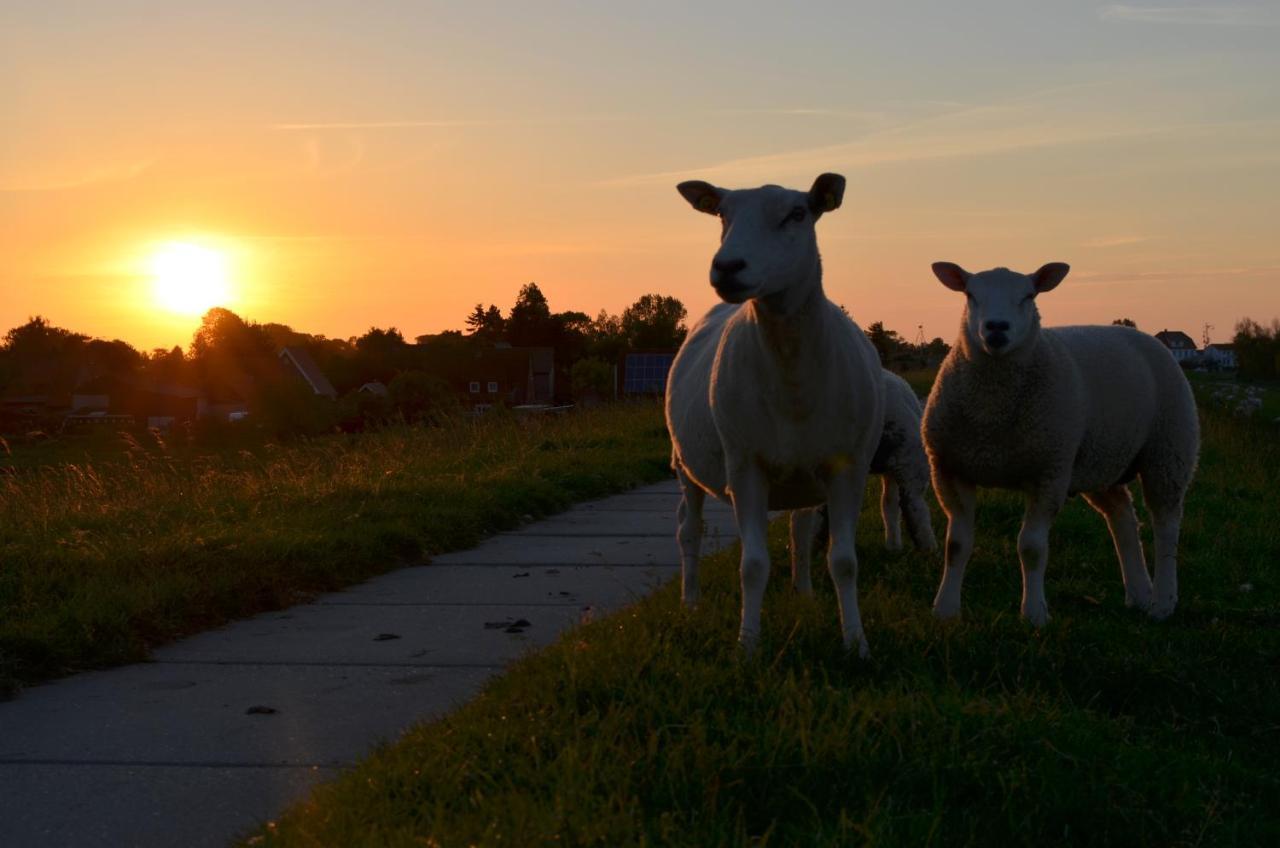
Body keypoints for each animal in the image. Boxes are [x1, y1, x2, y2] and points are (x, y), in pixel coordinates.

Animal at [665, 174, 885, 655]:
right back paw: (690, 602)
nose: (727, 266)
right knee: (688, 530)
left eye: (797, 214)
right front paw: (747, 645)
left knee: (799, 531)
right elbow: (752, 565)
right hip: (685, 465)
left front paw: (856, 642)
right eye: (722, 214)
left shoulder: (848, 468)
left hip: (804, 475)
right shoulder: (746, 466)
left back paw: (803, 594)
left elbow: (844, 561)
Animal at [921, 262, 1198, 627]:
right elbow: (956, 545)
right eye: (970, 294)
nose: (996, 328)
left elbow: (1031, 547)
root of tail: (1143, 337)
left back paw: (1162, 603)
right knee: (1123, 519)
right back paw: (1138, 594)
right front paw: (945, 610)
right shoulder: (951, 470)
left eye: (1028, 296)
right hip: (1101, 460)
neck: (991, 415)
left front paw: (1034, 613)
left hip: (1168, 451)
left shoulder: (1048, 474)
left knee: (1166, 524)